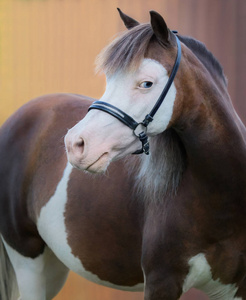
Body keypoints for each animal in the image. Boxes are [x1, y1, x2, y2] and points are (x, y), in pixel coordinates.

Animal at [0, 8, 245, 300]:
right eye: (110, 79)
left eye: (146, 83)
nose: (74, 144)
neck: (221, 199)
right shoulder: (161, 282)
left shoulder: (236, 287)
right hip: (28, 261)